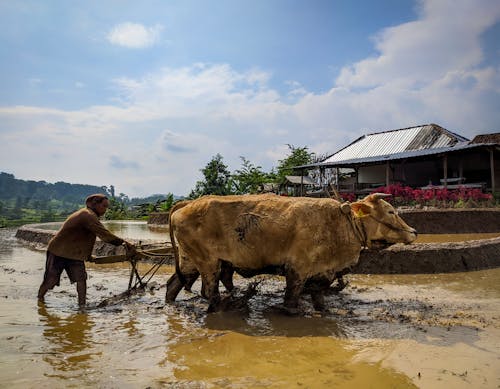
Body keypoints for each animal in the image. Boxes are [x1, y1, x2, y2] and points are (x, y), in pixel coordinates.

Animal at [166, 194, 416, 312]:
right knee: (209, 290)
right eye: (391, 211)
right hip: (208, 262)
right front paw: (291, 312)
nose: (414, 231)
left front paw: (323, 309)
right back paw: (225, 307)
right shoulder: (298, 268)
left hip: (191, 261)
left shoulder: (325, 271)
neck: (341, 223)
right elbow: (293, 295)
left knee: (174, 284)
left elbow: (318, 294)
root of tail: (186, 204)